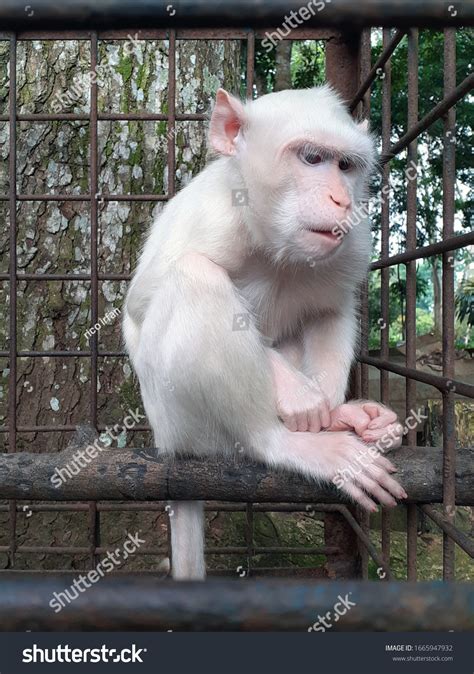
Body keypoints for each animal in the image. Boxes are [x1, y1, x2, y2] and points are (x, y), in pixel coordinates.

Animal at [123, 84, 408, 576]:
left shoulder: (353, 240)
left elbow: (328, 310)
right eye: (312, 158)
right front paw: (299, 396)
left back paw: (342, 419)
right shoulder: (209, 219)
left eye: (345, 167)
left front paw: (331, 410)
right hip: (184, 426)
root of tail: (168, 446)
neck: (272, 245)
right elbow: (139, 308)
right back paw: (280, 442)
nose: (342, 200)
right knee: (193, 277)